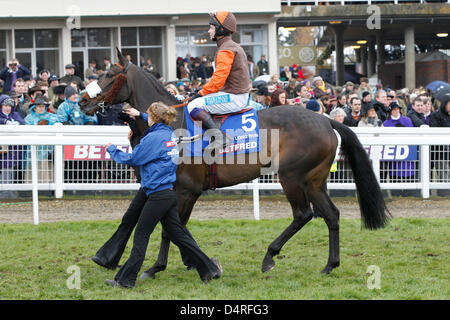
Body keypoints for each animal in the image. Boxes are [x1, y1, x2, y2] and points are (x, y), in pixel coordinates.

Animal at [80, 48, 390, 278]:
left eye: (110, 74)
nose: (83, 100)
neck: (173, 125)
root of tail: (326, 120)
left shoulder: (187, 190)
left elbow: (171, 228)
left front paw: (158, 266)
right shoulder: (173, 189)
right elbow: (174, 227)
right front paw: (189, 261)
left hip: (292, 176)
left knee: (304, 214)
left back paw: (270, 256)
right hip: (314, 180)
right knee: (331, 215)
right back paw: (329, 265)